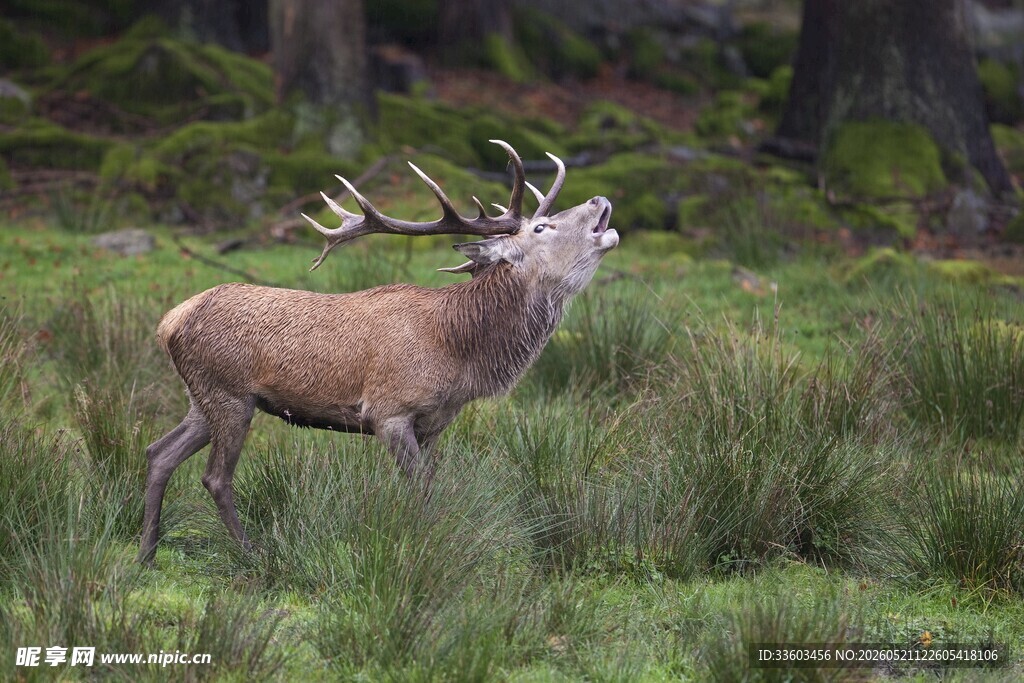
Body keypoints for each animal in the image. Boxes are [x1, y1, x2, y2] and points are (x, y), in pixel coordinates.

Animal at [138, 140, 618, 564]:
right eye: (542, 227)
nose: (599, 199)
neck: (458, 353)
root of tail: (171, 321)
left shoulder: (435, 423)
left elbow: (427, 487)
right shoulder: (388, 410)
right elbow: (420, 490)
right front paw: (427, 547)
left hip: (202, 396)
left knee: (159, 452)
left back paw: (147, 552)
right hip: (229, 393)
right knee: (215, 476)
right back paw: (250, 552)